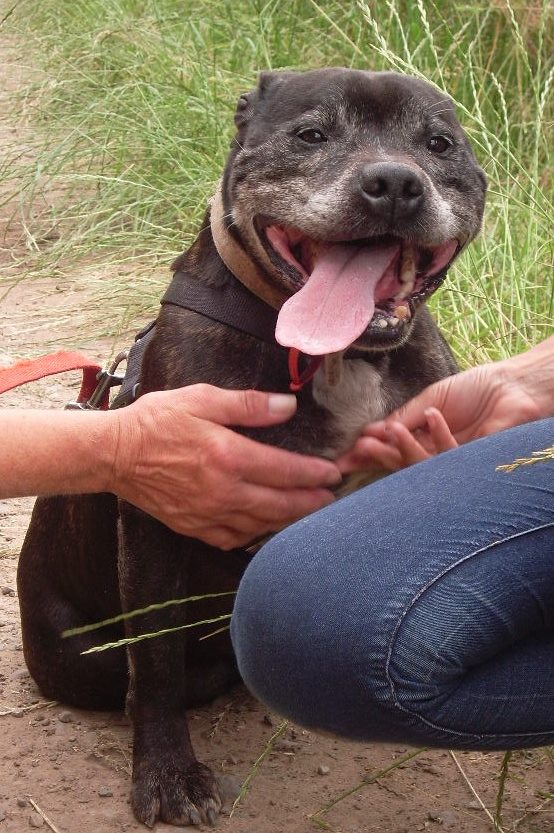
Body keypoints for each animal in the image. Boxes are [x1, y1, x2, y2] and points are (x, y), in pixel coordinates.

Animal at [17, 70, 484, 824]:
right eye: (311, 134)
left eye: (439, 144)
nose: (393, 182)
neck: (335, 354)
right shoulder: (158, 520)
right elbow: (155, 663)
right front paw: (169, 774)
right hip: (78, 655)